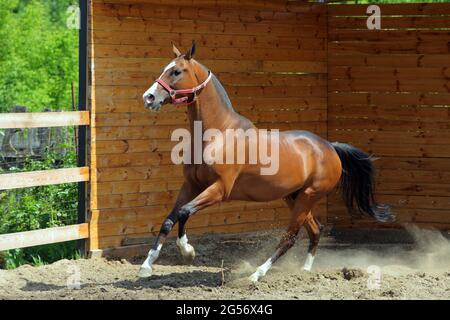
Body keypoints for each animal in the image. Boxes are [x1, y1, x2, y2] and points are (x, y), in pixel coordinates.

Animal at [138, 40, 394, 282]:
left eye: (176, 71)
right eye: (165, 69)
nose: (148, 97)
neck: (217, 134)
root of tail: (330, 147)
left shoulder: (220, 189)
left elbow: (184, 212)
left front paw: (188, 251)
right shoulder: (191, 185)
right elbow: (169, 219)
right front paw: (146, 267)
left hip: (309, 196)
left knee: (290, 237)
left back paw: (256, 274)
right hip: (294, 196)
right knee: (315, 230)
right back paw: (304, 271)